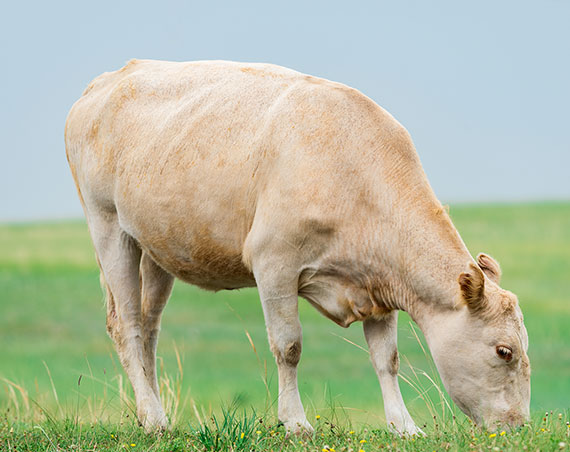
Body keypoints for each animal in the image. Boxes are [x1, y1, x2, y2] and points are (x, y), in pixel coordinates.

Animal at [65, 59, 530, 434]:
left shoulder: (377, 288)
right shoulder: (274, 264)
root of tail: (110, 79)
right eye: (504, 351)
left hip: (157, 246)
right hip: (108, 225)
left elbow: (387, 358)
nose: (519, 426)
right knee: (127, 323)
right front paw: (295, 422)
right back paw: (154, 419)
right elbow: (288, 347)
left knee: (150, 328)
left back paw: (156, 411)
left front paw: (404, 426)